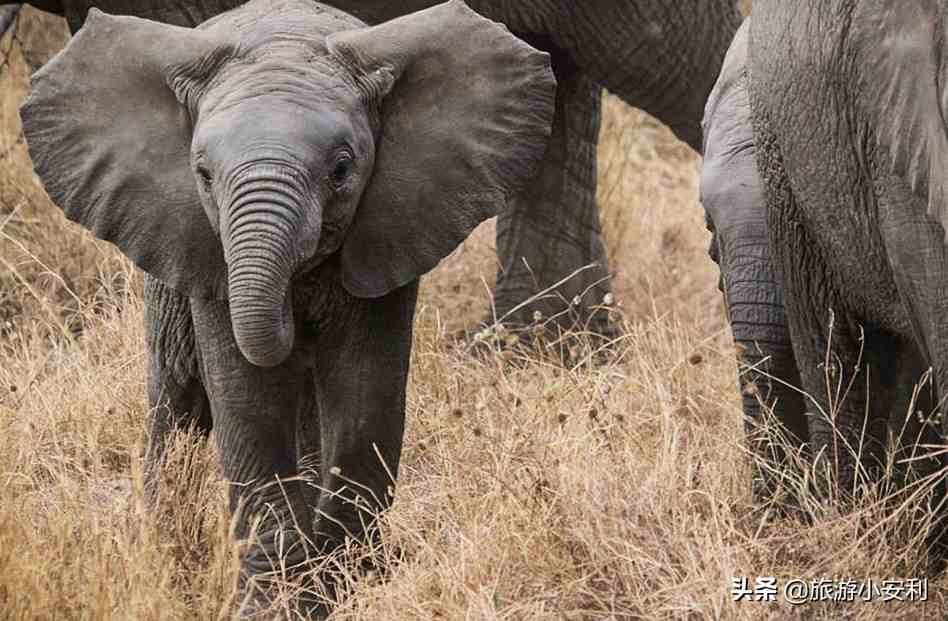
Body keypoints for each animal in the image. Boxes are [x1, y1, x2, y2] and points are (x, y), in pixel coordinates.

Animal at [20, 0, 556, 612]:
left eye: (342, 169)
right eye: (203, 175)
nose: (292, 314)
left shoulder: (392, 228)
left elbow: (364, 394)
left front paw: (345, 586)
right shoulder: (205, 252)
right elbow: (247, 400)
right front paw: (275, 602)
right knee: (176, 398)